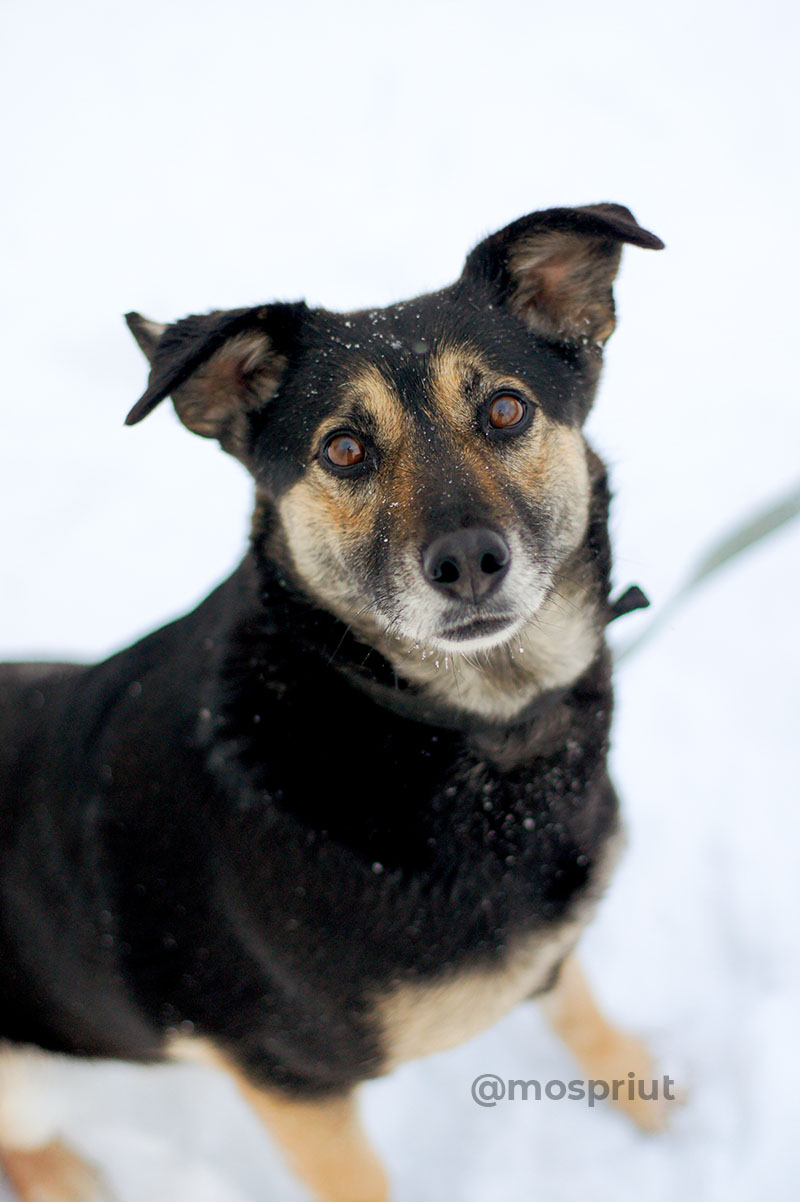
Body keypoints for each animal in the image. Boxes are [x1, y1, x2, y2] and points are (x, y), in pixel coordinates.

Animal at [0, 206, 658, 1202]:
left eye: (506, 409)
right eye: (343, 449)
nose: (469, 561)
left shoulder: (550, 948)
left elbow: (584, 1018)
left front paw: (658, 1106)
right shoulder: (290, 1081)